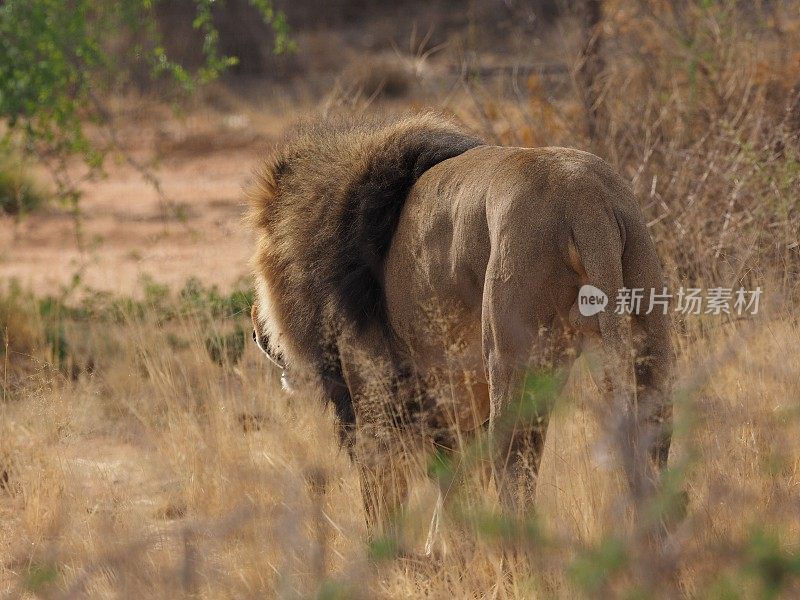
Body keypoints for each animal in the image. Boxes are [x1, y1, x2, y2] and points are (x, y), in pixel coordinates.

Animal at [247, 111, 672, 540]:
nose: (254, 331)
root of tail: (585, 196)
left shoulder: (373, 394)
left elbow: (384, 502)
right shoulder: (456, 411)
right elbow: (455, 495)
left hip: (511, 352)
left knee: (514, 474)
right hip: (644, 329)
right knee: (653, 450)